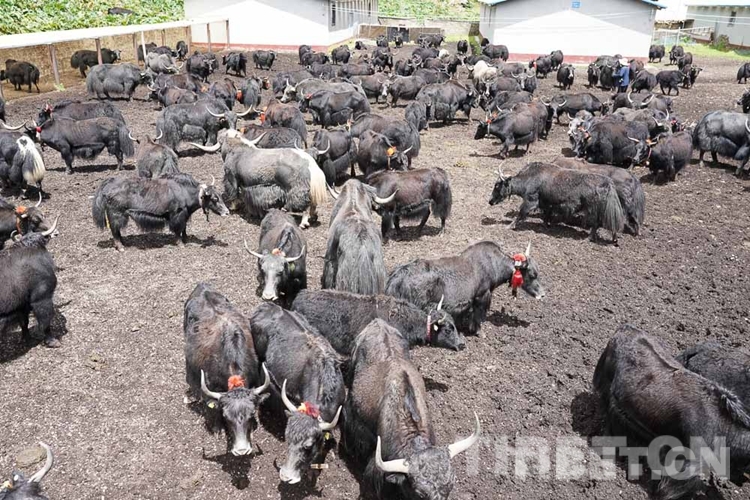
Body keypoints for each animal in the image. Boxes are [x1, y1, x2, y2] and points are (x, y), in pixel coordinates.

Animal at [0, 218, 60, 347]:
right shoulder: (42, 298)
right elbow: (45, 320)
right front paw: (52, 340)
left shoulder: (22, 305)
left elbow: (24, 322)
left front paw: (26, 339)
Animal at [92, 172, 228, 250]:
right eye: (214, 198)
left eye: (220, 196)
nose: (227, 212)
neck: (185, 192)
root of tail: (108, 184)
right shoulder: (177, 215)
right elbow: (178, 230)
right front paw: (181, 244)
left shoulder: (184, 215)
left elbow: (184, 229)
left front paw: (186, 240)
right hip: (116, 213)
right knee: (114, 230)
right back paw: (120, 247)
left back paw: (123, 242)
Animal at [387, 241, 542, 336]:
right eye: (532, 274)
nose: (542, 294)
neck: (495, 265)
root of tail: (397, 276)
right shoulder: (482, 295)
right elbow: (478, 315)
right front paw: (479, 332)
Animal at [490, 162, 625, 243]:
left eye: (497, 185)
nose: (490, 201)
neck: (529, 179)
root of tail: (608, 183)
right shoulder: (545, 203)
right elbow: (546, 215)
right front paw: (546, 225)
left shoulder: (531, 201)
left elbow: (520, 214)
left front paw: (509, 226)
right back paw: (614, 239)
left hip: (593, 208)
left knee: (597, 223)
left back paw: (588, 238)